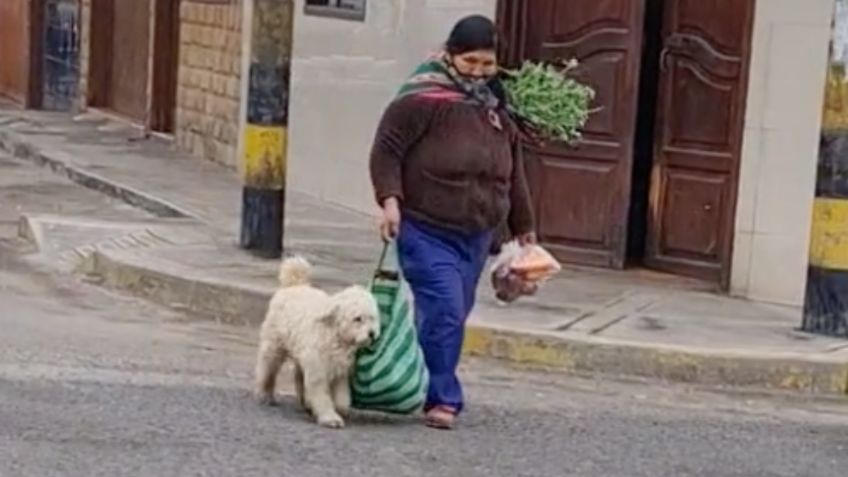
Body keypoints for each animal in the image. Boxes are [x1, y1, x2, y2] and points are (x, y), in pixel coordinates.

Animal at [253, 256, 380, 428]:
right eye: (357, 319)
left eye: (372, 318)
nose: (372, 334)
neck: (335, 334)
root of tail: (294, 285)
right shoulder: (318, 369)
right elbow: (321, 394)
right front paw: (329, 418)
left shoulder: (340, 370)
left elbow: (342, 397)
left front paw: (340, 409)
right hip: (274, 345)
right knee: (268, 369)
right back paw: (265, 394)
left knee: (298, 376)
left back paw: (304, 401)